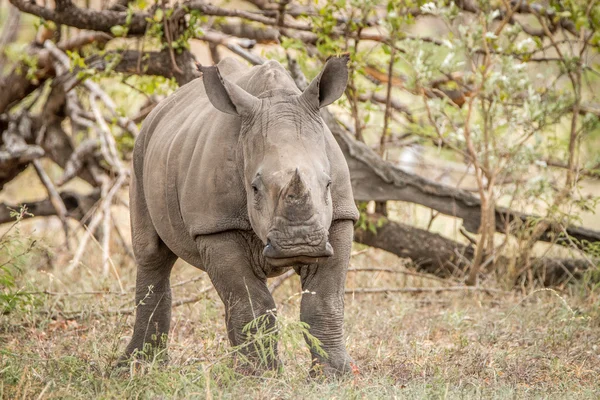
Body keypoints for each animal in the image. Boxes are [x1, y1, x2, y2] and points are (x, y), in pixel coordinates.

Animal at [122, 54, 356, 376]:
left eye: (328, 184)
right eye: (254, 188)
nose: (300, 244)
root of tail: (161, 108)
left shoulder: (340, 218)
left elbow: (324, 302)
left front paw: (334, 375)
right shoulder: (216, 226)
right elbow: (251, 303)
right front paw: (261, 375)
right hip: (140, 150)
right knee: (152, 255)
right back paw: (136, 367)